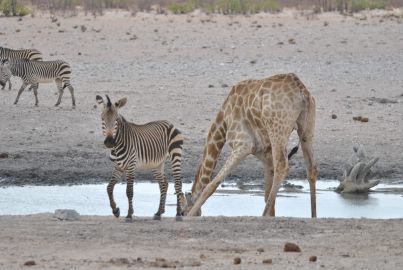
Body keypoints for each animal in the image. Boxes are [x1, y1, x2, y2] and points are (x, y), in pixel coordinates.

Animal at [186, 73, 318, 217]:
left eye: (181, 211)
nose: (181, 214)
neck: (223, 120)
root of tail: (302, 91)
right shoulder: (265, 153)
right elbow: (267, 193)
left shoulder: (242, 144)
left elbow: (211, 185)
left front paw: (190, 215)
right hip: (306, 127)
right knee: (311, 169)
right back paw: (314, 217)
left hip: (278, 128)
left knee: (282, 166)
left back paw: (262, 215)